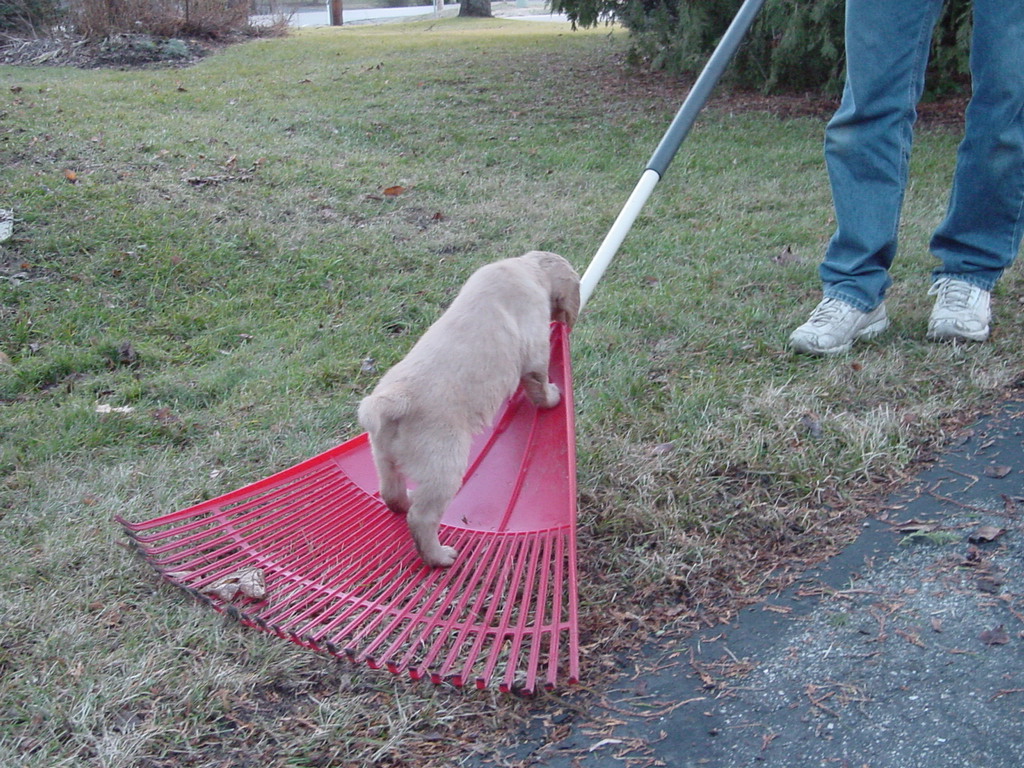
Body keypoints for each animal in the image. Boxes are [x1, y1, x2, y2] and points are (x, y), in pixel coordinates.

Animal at [360, 250, 581, 565]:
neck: (525, 269)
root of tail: (395, 400)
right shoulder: (535, 350)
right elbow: (538, 382)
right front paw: (552, 396)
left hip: (383, 456)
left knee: (391, 493)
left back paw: (405, 502)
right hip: (444, 465)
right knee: (422, 518)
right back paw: (440, 558)